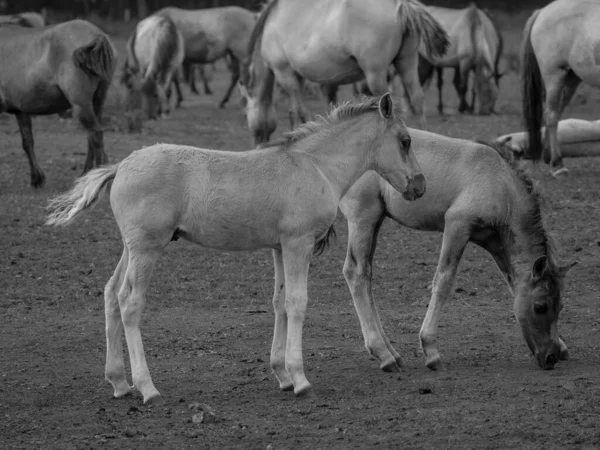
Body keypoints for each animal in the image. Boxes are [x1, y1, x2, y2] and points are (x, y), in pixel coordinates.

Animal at [0, 19, 115, 186]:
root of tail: (97, 34)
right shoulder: (21, 111)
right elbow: (27, 142)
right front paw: (37, 178)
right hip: (97, 103)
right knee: (92, 138)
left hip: (81, 105)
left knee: (95, 135)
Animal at [47, 95, 426, 404]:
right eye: (405, 141)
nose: (420, 186)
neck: (316, 166)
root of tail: (121, 165)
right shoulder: (298, 244)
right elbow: (297, 303)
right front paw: (301, 379)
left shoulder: (279, 247)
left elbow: (279, 303)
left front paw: (283, 376)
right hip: (146, 249)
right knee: (129, 302)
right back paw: (147, 388)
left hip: (131, 248)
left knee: (111, 294)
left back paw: (119, 383)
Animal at [241, 0, 448, 145]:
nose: (256, 143)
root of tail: (400, 4)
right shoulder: (297, 78)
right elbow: (294, 112)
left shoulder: (285, 73)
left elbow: (301, 112)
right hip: (407, 64)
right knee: (417, 100)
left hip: (376, 74)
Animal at [340, 132, 576, 374]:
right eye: (540, 306)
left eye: (560, 306)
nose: (550, 357)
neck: (500, 182)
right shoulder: (457, 225)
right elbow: (443, 281)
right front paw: (431, 350)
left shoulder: (496, 244)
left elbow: (514, 285)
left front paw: (562, 345)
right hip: (363, 218)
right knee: (356, 273)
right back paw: (383, 354)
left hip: (375, 221)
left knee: (366, 275)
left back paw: (392, 353)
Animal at [520, 0, 600, 178]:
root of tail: (542, 12)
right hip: (554, 77)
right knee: (551, 115)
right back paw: (557, 165)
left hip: (570, 79)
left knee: (556, 114)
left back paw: (549, 156)